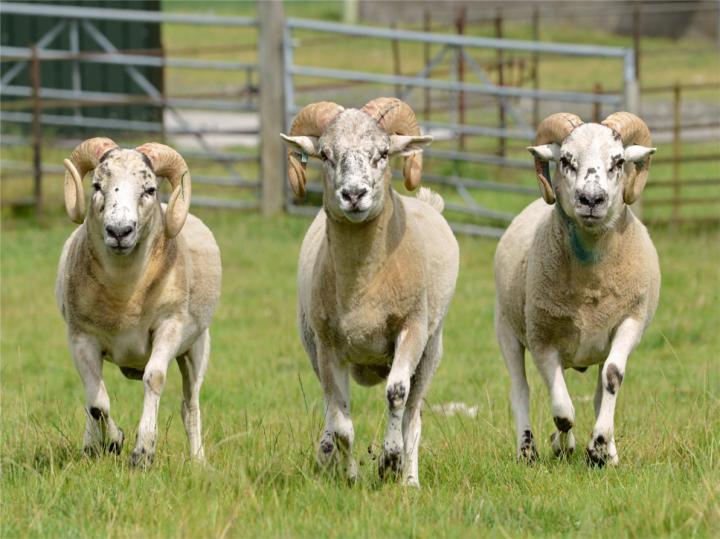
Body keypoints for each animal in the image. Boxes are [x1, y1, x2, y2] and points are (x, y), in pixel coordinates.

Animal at [56, 139, 221, 468]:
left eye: (149, 189)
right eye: (96, 185)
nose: (119, 231)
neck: (125, 296)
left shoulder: (169, 327)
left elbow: (154, 378)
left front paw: (143, 452)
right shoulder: (81, 338)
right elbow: (97, 401)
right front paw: (114, 440)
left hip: (196, 348)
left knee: (190, 406)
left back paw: (198, 461)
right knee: (92, 400)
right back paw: (91, 447)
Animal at [278, 98, 458, 490]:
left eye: (383, 153)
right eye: (325, 155)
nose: (354, 195)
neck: (364, 288)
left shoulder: (411, 329)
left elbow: (396, 394)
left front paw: (390, 461)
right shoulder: (328, 346)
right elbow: (342, 424)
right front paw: (351, 476)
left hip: (432, 348)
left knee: (413, 417)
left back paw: (409, 478)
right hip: (313, 348)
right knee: (330, 409)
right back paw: (326, 453)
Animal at [496, 112, 660, 466]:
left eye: (619, 160)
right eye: (566, 160)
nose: (591, 200)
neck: (591, 282)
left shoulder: (630, 321)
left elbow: (612, 379)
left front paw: (599, 448)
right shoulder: (542, 338)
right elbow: (562, 410)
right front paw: (563, 445)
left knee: (599, 390)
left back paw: (606, 451)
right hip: (506, 328)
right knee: (520, 389)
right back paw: (528, 450)